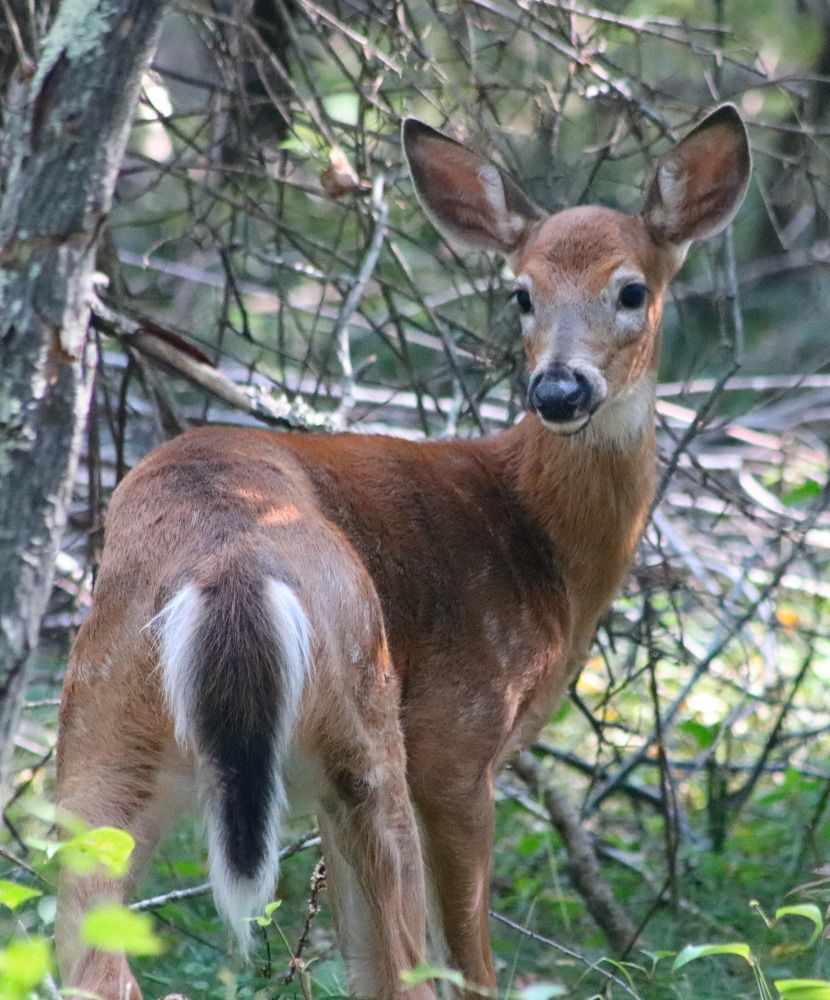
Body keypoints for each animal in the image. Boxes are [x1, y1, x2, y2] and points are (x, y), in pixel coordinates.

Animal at [55, 104, 750, 999]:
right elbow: (468, 957)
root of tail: (229, 568)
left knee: (91, 961)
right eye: (521, 293)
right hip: (370, 717)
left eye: (632, 290)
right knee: (407, 969)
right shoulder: (459, 735)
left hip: (100, 733)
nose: (559, 390)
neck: (537, 534)